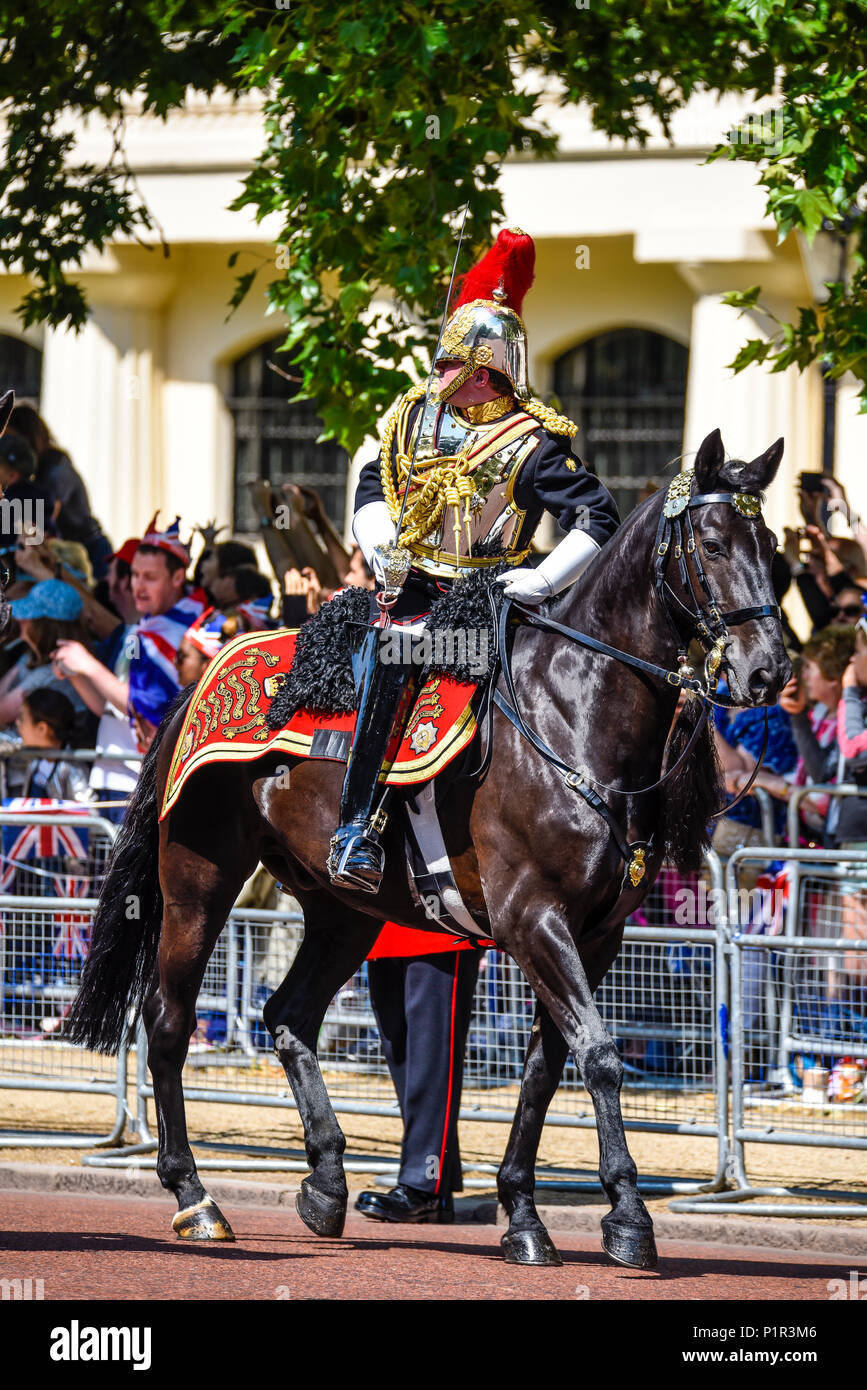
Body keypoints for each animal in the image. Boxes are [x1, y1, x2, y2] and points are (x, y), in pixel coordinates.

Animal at [67, 430, 789, 1273]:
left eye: (772, 549)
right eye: (711, 544)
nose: (767, 670)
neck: (573, 715)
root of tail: (206, 676)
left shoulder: (594, 934)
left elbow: (546, 1068)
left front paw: (523, 1214)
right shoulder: (534, 919)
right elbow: (598, 1054)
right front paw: (627, 1218)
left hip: (342, 911)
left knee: (287, 1015)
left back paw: (327, 1182)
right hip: (198, 879)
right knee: (168, 1020)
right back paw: (196, 1197)